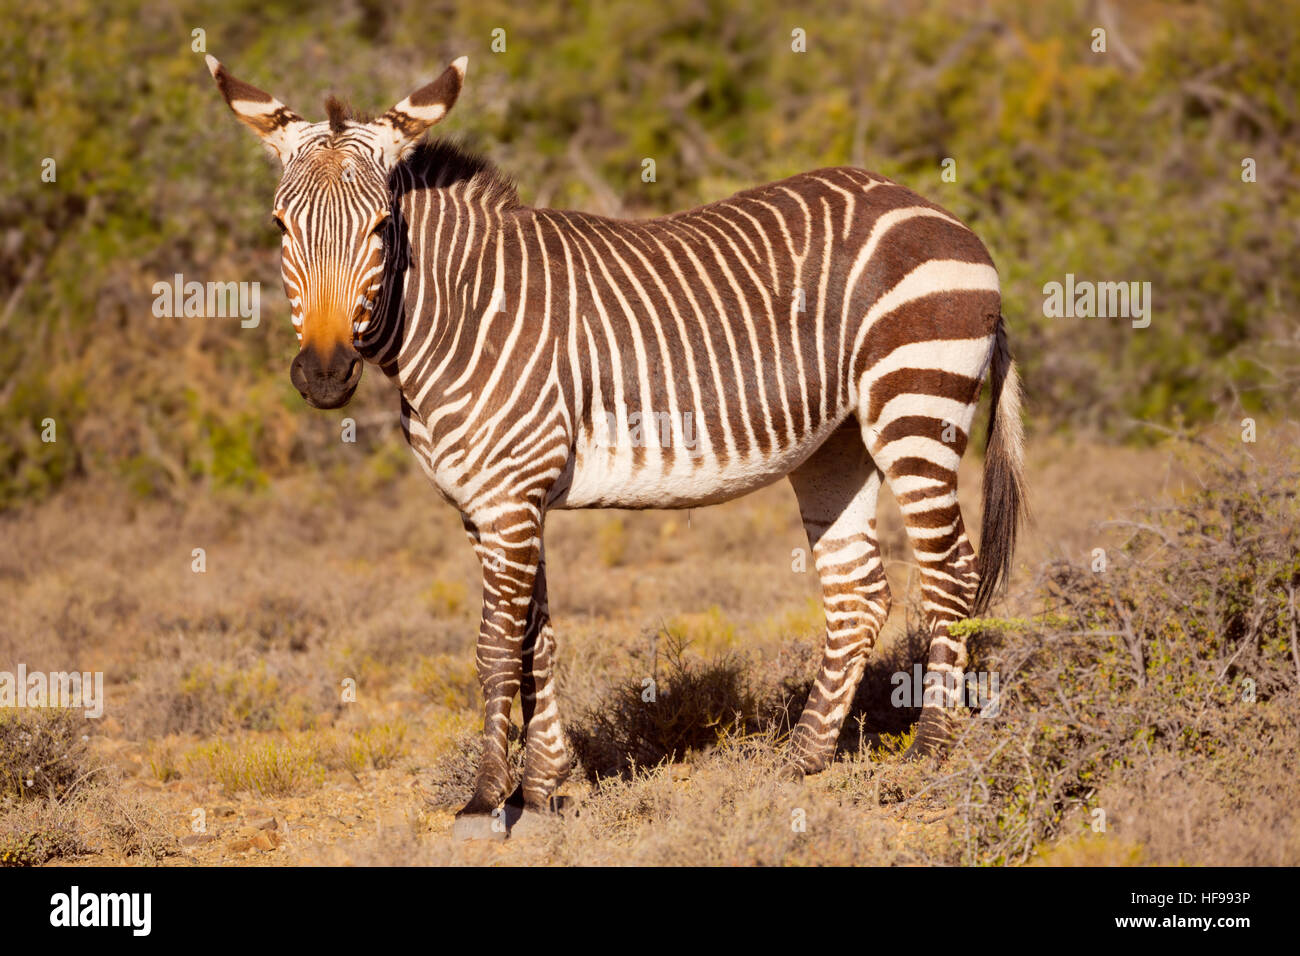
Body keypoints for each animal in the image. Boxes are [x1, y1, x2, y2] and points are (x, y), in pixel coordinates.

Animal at [206, 54, 1026, 825]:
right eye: (279, 227)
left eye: (381, 228)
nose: (323, 374)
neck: (457, 314)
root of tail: (937, 211)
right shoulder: (492, 505)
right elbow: (536, 639)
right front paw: (546, 788)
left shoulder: (509, 497)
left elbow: (496, 648)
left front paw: (487, 798)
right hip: (839, 443)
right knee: (858, 591)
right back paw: (802, 760)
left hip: (914, 404)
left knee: (949, 571)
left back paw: (929, 752)